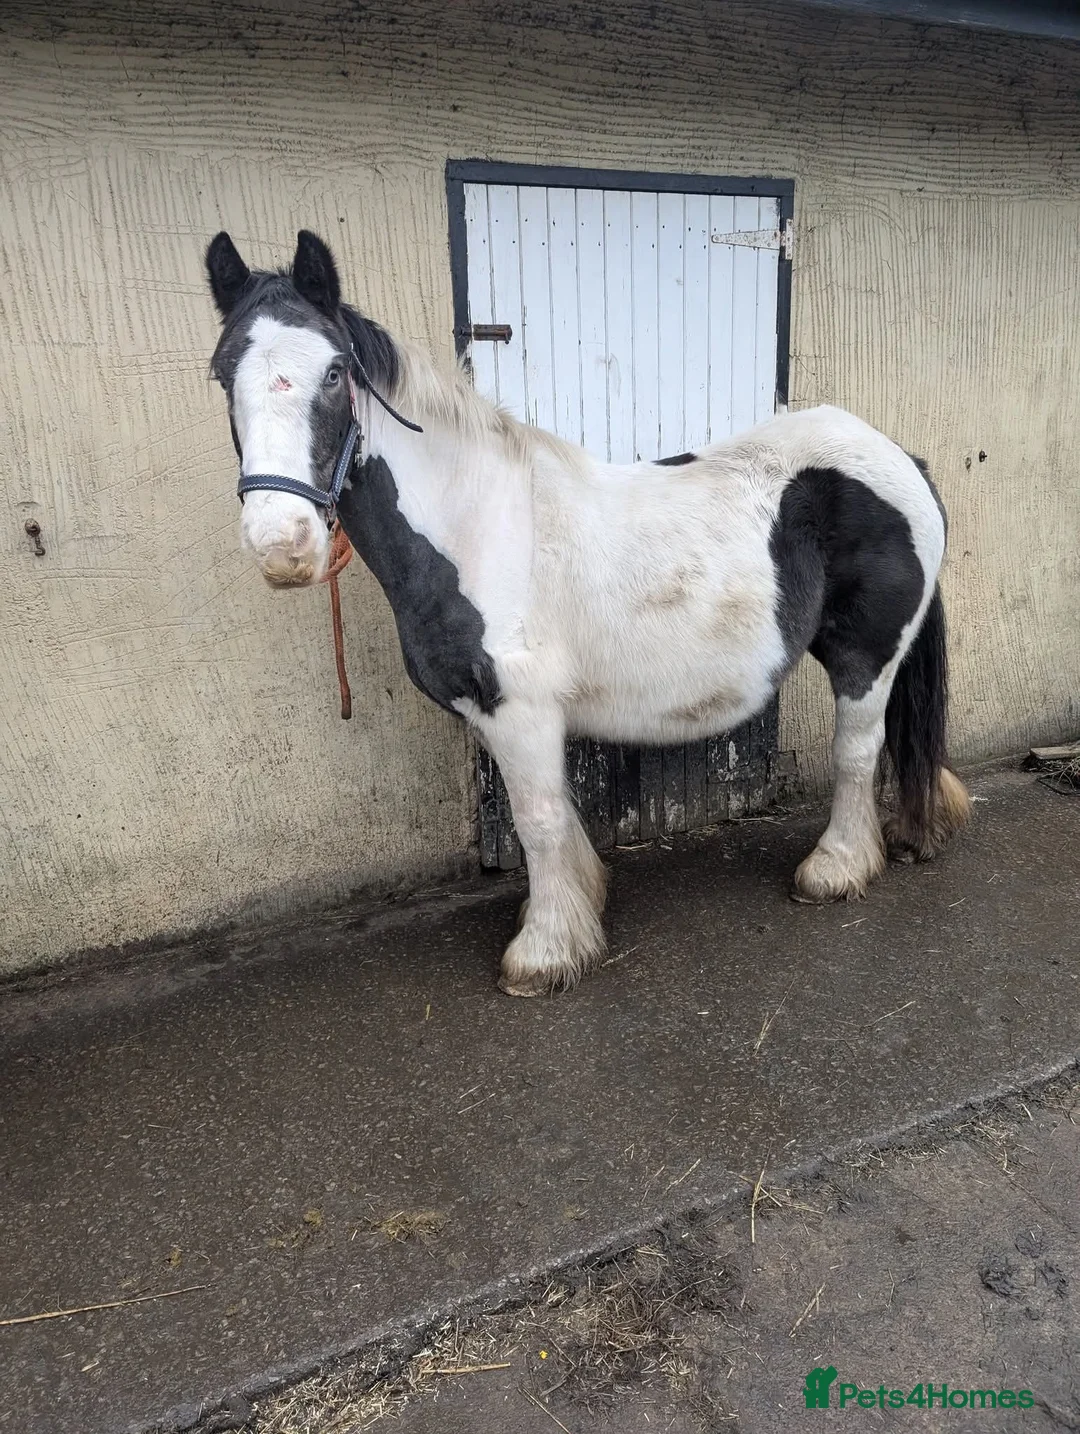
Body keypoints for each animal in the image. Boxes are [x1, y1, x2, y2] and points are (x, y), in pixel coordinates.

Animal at [204, 228, 971, 996]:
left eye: (334, 372)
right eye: (221, 373)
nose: (282, 544)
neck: (476, 525)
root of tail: (897, 456)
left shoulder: (519, 708)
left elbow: (537, 821)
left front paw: (543, 954)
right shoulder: (499, 711)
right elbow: (557, 818)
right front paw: (576, 909)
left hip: (867, 655)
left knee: (857, 751)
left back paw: (834, 869)